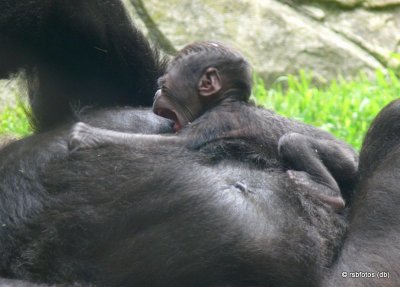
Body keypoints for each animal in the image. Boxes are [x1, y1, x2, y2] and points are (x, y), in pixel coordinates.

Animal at [68, 41, 356, 209]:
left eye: (164, 86)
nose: (156, 93)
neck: (225, 100)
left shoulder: (217, 119)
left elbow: (179, 143)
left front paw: (88, 135)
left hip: (345, 159)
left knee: (293, 140)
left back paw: (327, 193)